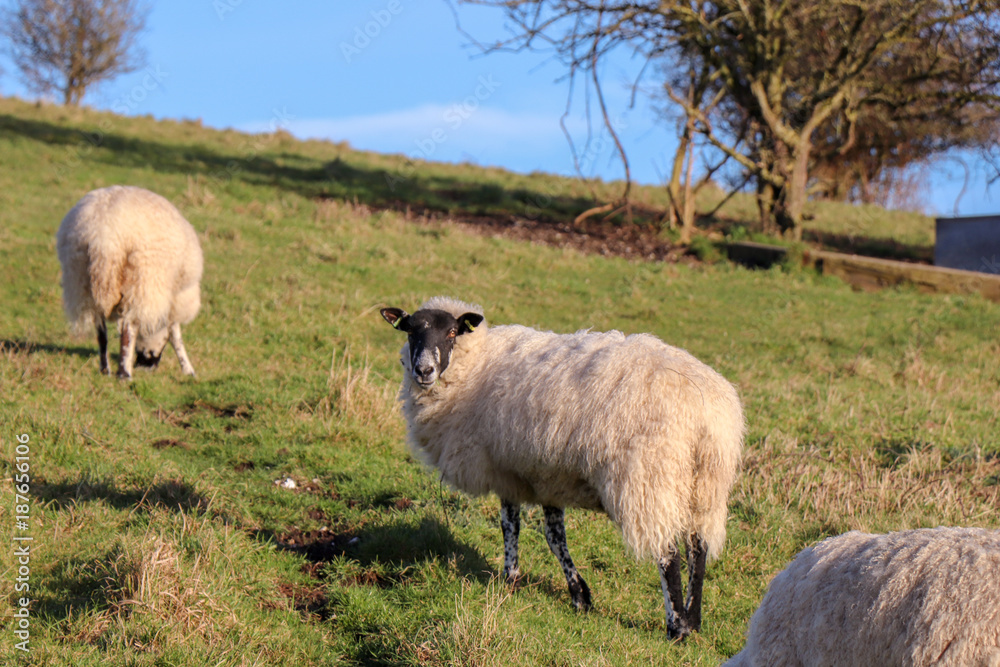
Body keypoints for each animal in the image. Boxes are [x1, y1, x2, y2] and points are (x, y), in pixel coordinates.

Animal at [56, 185, 203, 380]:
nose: (143, 366)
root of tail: (104, 237)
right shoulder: (173, 298)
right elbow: (175, 334)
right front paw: (188, 369)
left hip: (81, 280)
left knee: (101, 331)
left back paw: (105, 369)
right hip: (140, 279)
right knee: (128, 327)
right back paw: (124, 373)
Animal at [380, 296, 745, 638]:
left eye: (452, 333)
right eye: (411, 331)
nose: (424, 371)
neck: (476, 364)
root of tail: (705, 414)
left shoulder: (506, 468)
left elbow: (511, 526)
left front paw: (510, 580)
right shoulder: (546, 476)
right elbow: (555, 537)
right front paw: (578, 594)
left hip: (650, 478)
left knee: (668, 553)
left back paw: (676, 627)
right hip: (705, 484)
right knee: (699, 547)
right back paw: (693, 620)